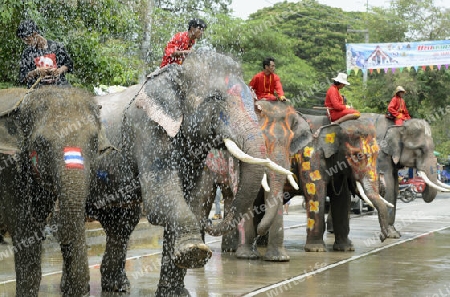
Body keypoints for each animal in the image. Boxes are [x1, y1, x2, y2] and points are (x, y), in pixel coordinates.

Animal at [89, 49, 292, 294]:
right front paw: (195, 251)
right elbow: (161, 200)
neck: (177, 74)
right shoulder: (146, 129)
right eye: (215, 98)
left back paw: (117, 288)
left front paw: (175, 292)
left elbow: (191, 200)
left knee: (121, 224)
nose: (212, 221)